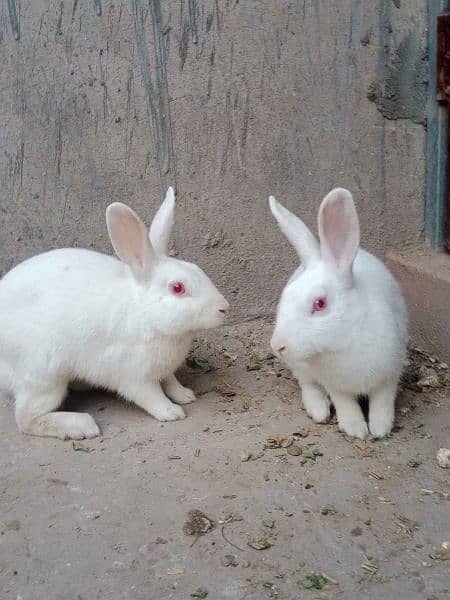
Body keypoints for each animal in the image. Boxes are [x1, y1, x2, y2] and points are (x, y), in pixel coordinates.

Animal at [0, 188, 230, 440]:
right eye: (177, 288)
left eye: (198, 269)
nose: (224, 308)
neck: (146, 314)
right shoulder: (135, 375)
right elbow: (151, 396)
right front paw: (171, 412)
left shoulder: (164, 370)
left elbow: (170, 382)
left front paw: (185, 395)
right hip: (43, 375)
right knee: (26, 419)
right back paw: (82, 426)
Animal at [268, 189, 410, 440]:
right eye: (285, 297)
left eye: (320, 303)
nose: (277, 346)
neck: (345, 339)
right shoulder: (335, 385)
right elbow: (344, 402)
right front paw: (355, 428)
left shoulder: (390, 373)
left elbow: (382, 400)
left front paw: (380, 427)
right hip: (300, 367)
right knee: (307, 384)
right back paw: (318, 409)